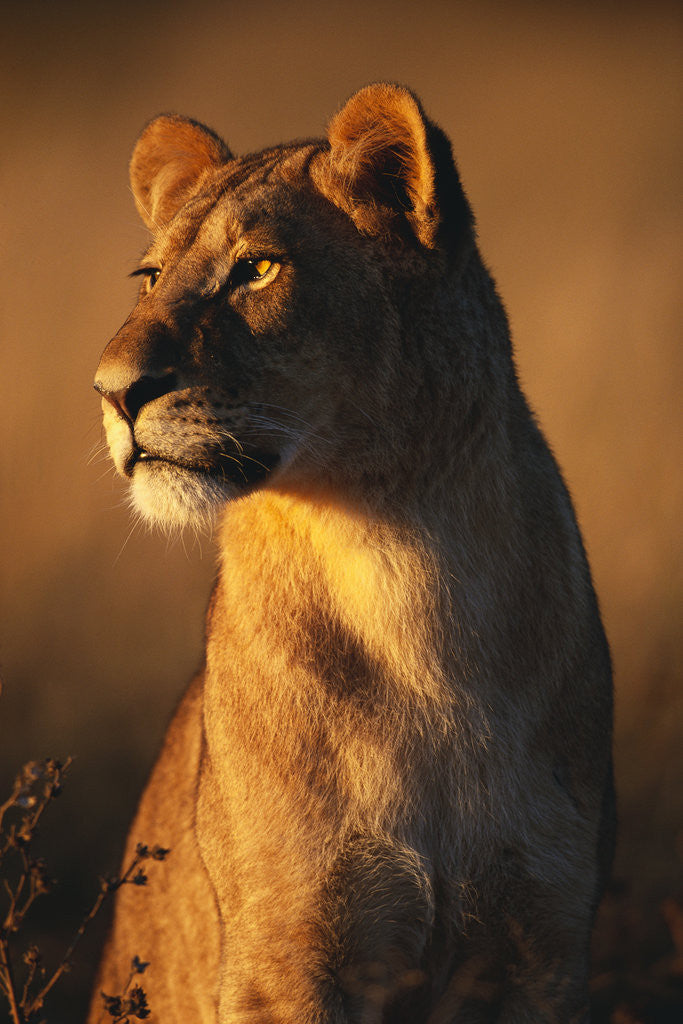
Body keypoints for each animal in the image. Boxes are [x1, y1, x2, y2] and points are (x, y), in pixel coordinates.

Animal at [90, 84, 615, 1023]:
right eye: (149, 279)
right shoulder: (286, 949)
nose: (112, 392)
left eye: (257, 270)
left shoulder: (546, 943)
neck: (398, 558)